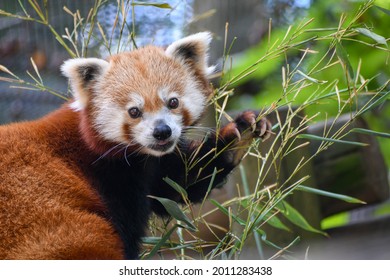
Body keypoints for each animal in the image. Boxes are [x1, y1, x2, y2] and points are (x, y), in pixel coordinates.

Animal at [0, 31, 272, 260]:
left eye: (173, 102)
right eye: (134, 111)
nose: (162, 131)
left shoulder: (151, 169)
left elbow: (182, 182)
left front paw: (238, 135)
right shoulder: (111, 179)